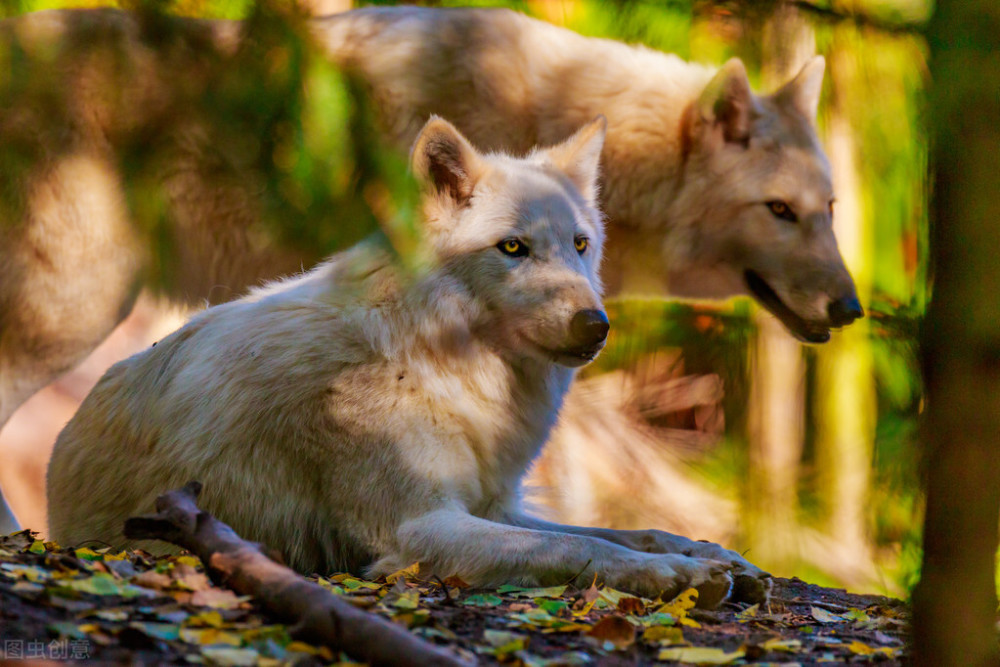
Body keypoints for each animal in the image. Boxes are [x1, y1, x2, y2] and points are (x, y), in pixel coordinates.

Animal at [45, 117, 764, 608]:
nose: (596, 325)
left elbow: (626, 529)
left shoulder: (492, 502)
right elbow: (576, 543)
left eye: (581, 245)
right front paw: (680, 575)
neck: (434, 360)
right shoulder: (419, 528)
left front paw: (712, 554)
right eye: (513, 248)